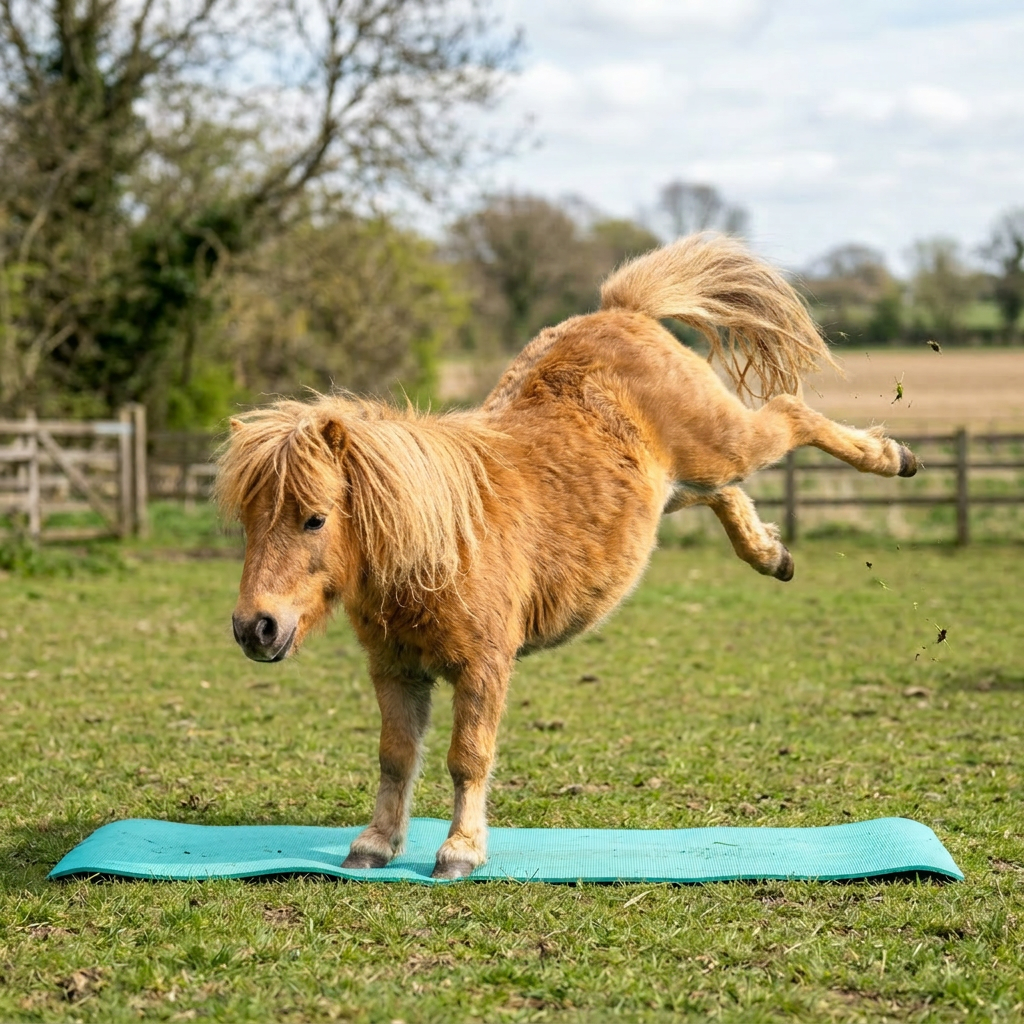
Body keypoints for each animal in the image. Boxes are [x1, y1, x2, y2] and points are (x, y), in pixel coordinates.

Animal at [216, 234, 918, 879]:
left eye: (315, 518)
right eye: (248, 522)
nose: (256, 628)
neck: (443, 546)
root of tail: (623, 311)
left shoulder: (483, 667)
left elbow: (467, 757)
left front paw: (460, 851)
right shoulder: (396, 672)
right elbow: (396, 757)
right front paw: (375, 845)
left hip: (725, 442)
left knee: (789, 414)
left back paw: (892, 459)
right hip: (678, 487)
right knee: (723, 493)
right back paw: (771, 553)